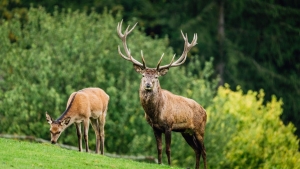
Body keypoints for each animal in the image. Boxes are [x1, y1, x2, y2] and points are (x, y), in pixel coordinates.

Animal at [116, 20, 206, 169]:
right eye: (143, 75)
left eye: (156, 77)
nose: (148, 84)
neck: (155, 113)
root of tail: (205, 111)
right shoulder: (155, 127)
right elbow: (159, 148)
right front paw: (159, 163)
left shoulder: (169, 125)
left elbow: (168, 149)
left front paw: (169, 164)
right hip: (186, 132)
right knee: (197, 150)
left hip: (200, 129)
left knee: (204, 151)